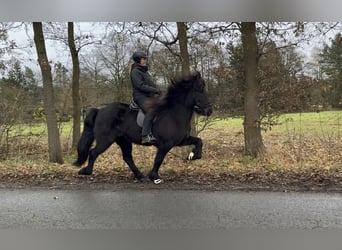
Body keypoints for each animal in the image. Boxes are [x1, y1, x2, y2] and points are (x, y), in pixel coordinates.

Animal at [73, 72, 212, 184]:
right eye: (199, 90)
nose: (209, 111)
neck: (174, 114)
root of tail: (100, 110)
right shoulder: (166, 144)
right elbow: (159, 159)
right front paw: (155, 177)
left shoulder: (180, 140)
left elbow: (199, 141)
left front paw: (193, 155)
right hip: (105, 140)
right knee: (94, 152)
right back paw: (85, 171)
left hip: (123, 140)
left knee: (127, 157)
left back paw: (139, 176)